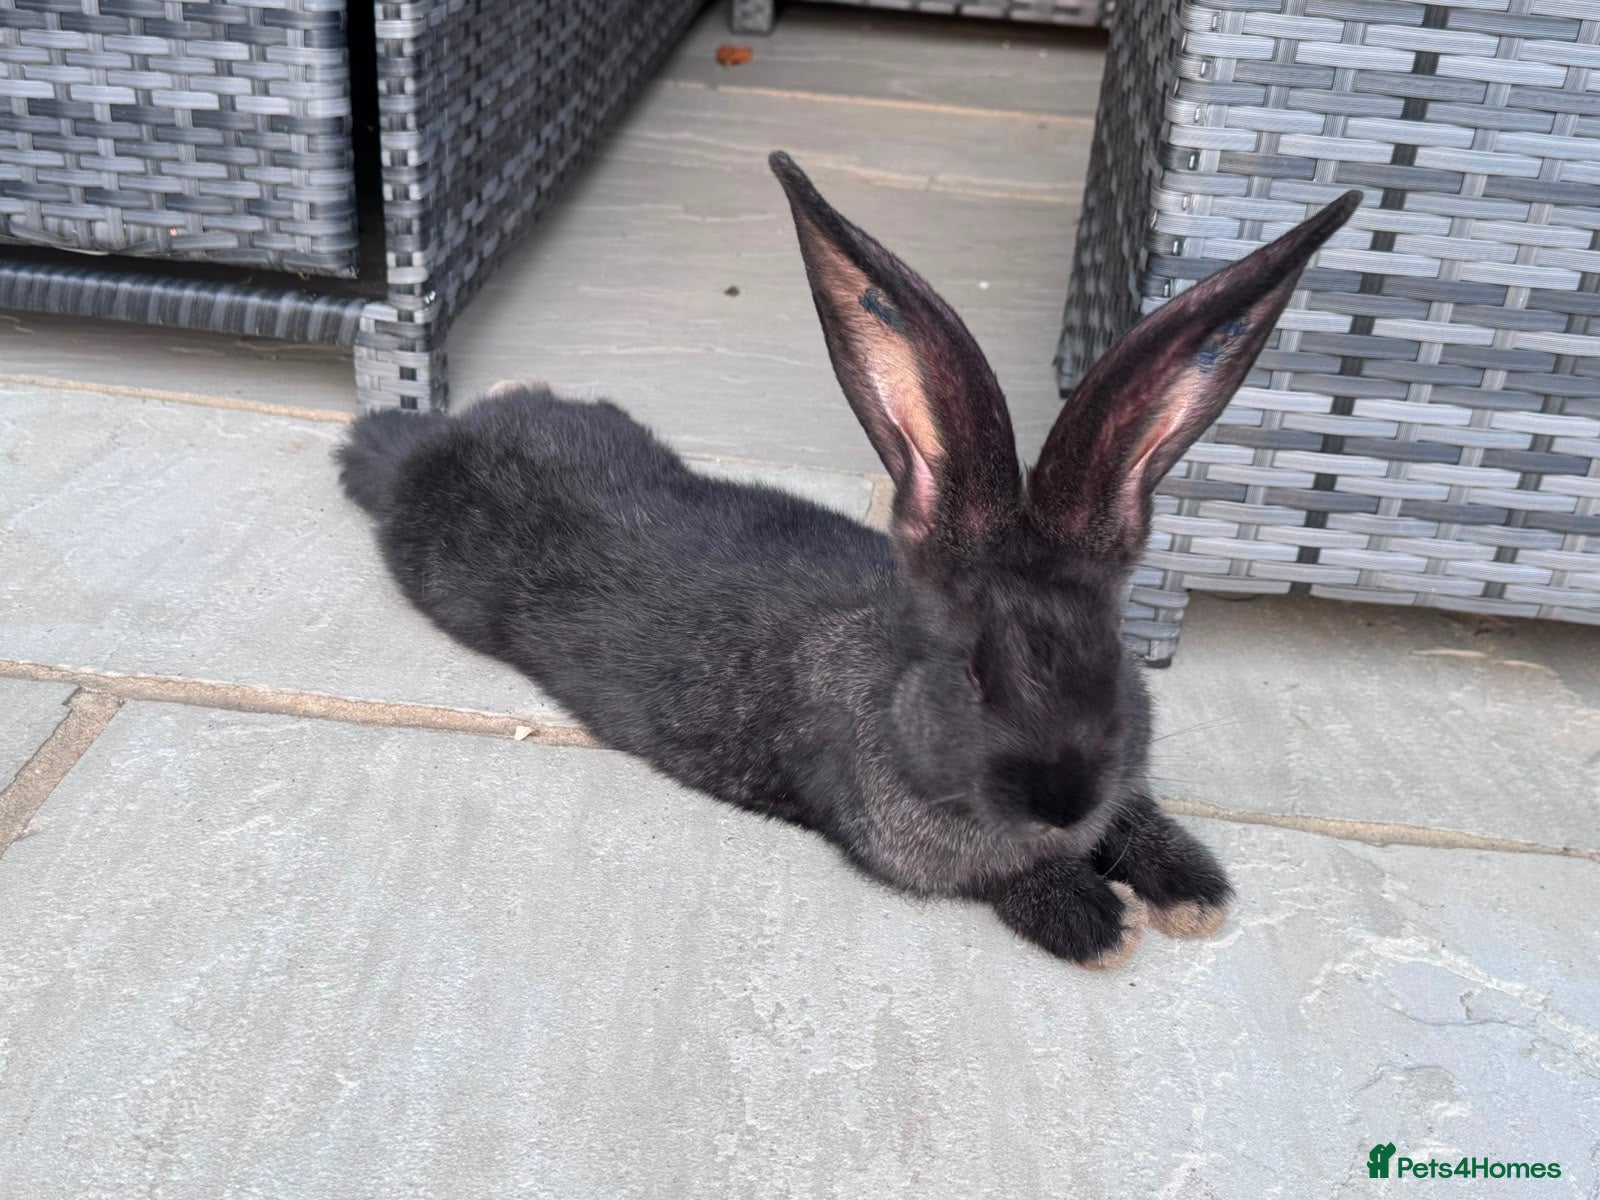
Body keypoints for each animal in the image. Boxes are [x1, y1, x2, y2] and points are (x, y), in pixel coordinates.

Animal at [339, 151, 1359, 967]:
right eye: (971, 675)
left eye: (1116, 660)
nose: (1062, 804)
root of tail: (422, 451)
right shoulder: (914, 850)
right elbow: (1008, 882)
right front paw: (1102, 925)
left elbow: (1140, 819)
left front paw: (1194, 895)